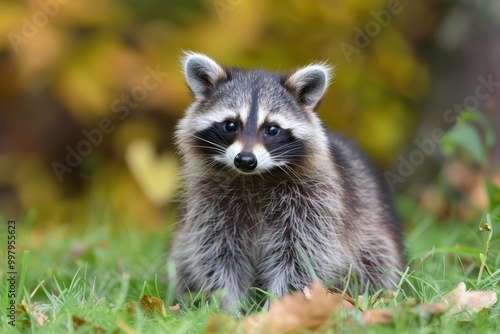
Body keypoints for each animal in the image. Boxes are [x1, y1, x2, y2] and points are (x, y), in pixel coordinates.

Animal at [172, 52, 406, 310]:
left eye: (272, 129)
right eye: (230, 125)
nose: (245, 160)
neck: (254, 178)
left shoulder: (315, 201)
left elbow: (301, 257)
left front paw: (275, 309)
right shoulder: (210, 203)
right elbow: (217, 253)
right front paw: (228, 306)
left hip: (373, 235)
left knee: (375, 262)